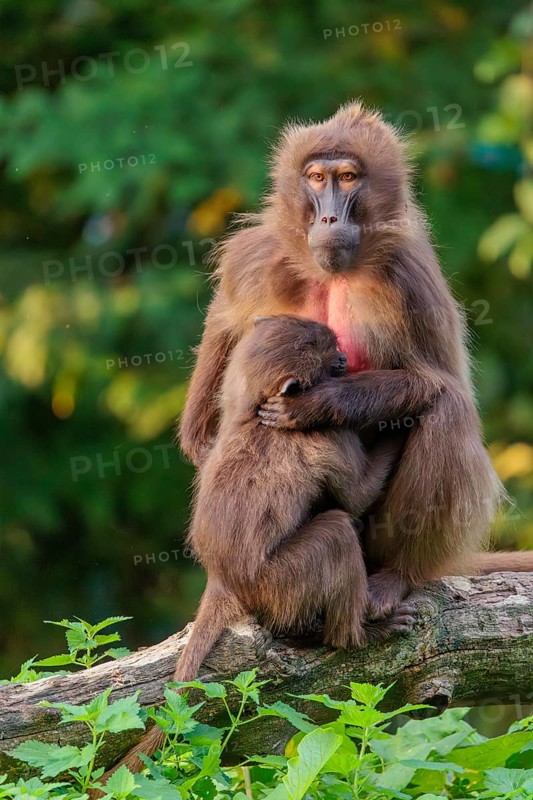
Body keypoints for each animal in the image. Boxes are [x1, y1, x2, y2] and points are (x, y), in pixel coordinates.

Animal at [98, 314, 415, 784]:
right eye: (325, 352)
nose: (343, 357)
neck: (254, 416)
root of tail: (222, 580)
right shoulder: (324, 434)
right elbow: (358, 497)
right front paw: (405, 423)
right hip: (276, 581)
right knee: (337, 530)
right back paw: (359, 634)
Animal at [179, 101, 533, 621]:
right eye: (316, 177)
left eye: (347, 178)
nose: (328, 219)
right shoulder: (256, 258)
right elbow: (222, 337)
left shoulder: (410, 278)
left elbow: (440, 382)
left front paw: (316, 404)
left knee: (446, 410)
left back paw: (397, 576)